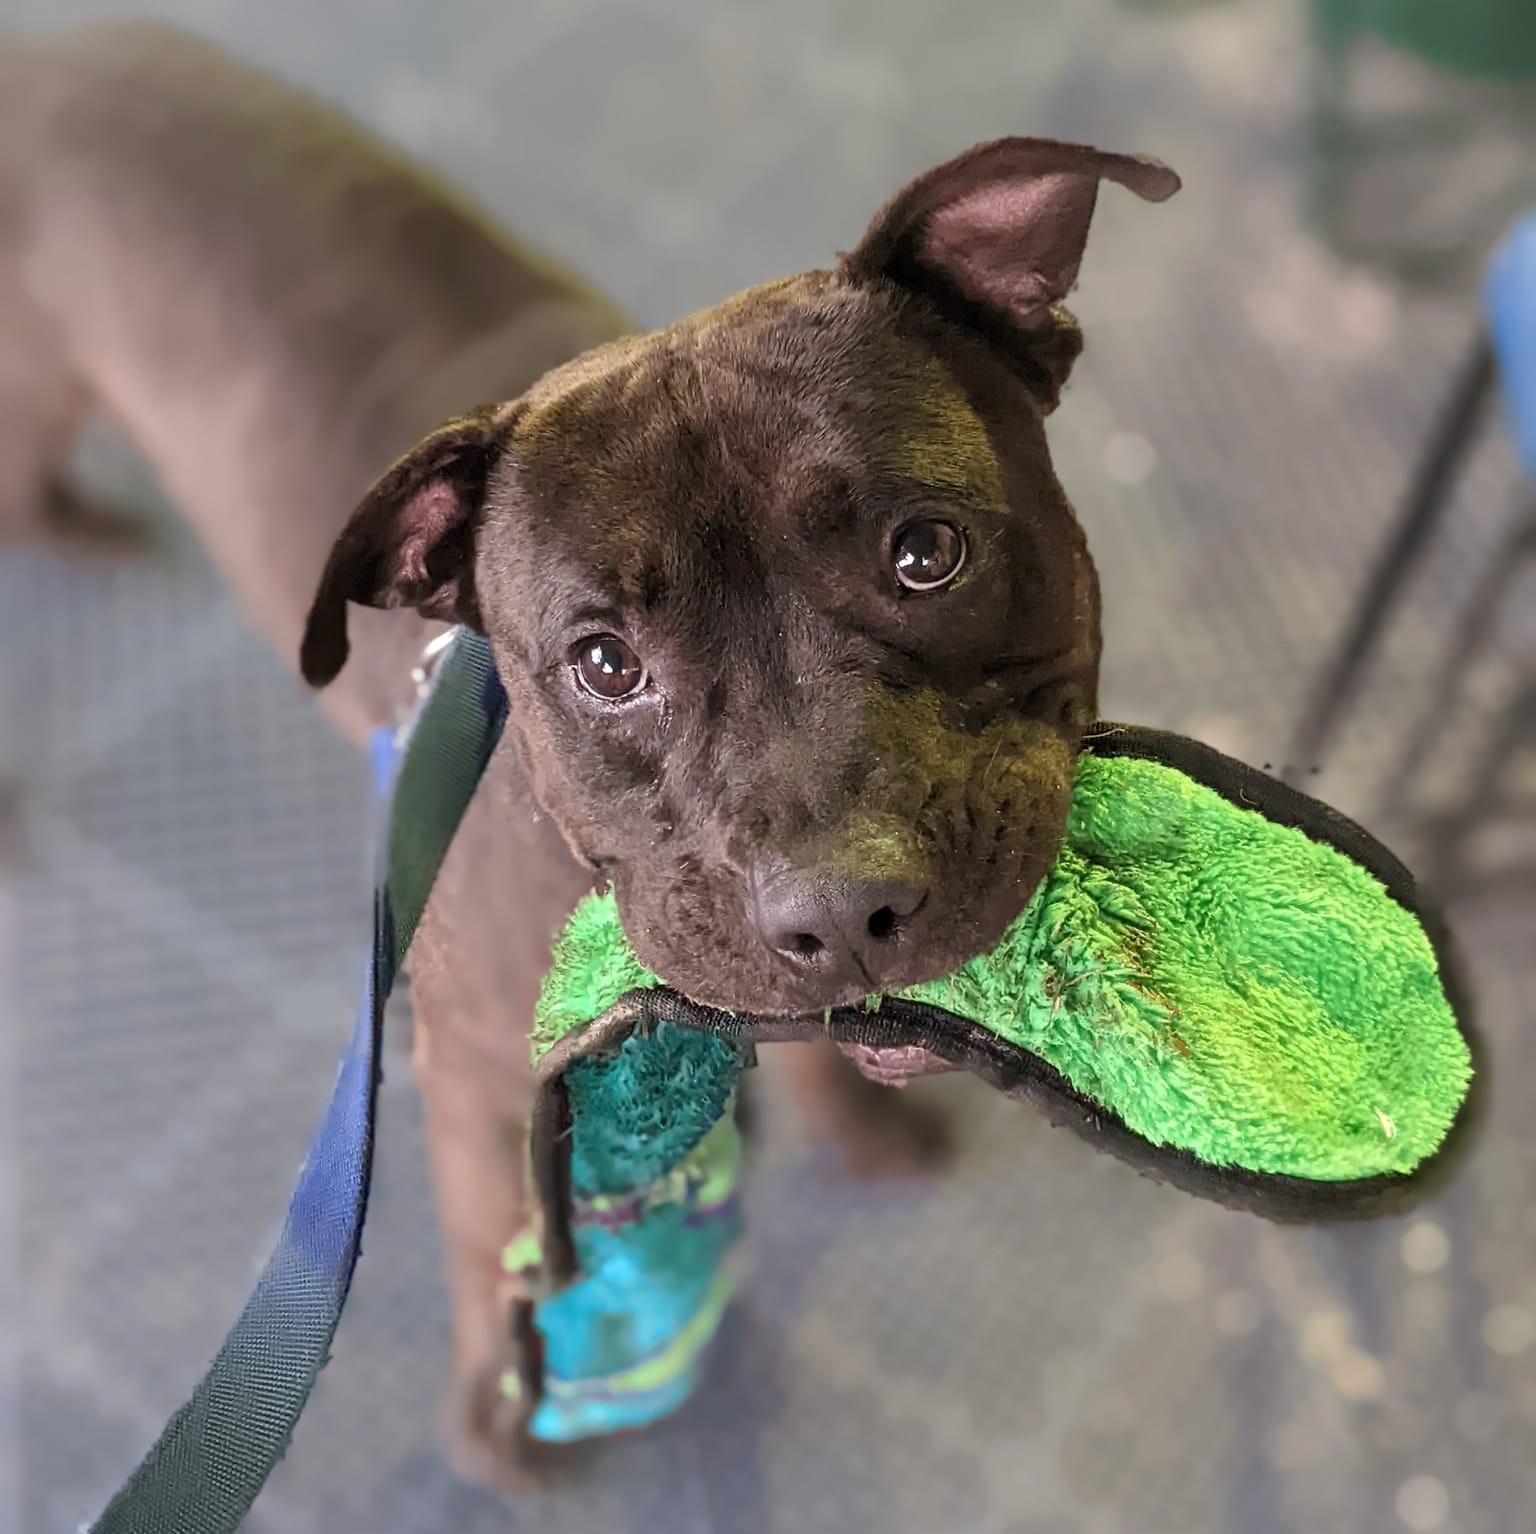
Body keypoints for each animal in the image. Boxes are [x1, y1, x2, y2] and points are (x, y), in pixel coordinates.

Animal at [0, 18, 1173, 1492]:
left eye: (927, 553)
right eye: (606, 665)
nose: (842, 908)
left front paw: (858, 1128)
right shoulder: (473, 1083)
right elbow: (485, 1262)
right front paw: (500, 1421)